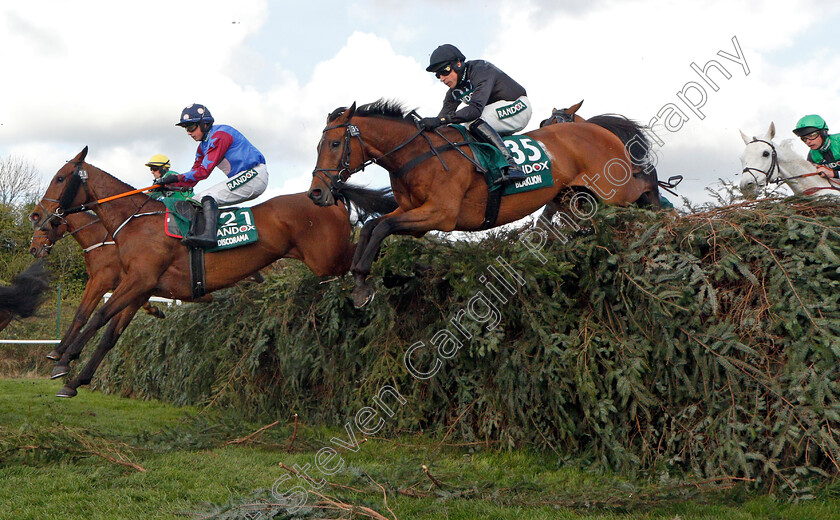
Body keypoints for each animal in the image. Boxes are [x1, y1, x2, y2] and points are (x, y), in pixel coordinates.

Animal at [30, 146, 398, 398]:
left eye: (60, 178)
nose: (38, 217)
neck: (133, 222)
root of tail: (327, 196)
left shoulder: (133, 280)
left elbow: (96, 315)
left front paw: (63, 359)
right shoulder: (140, 288)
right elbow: (108, 333)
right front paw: (75, 379)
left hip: (327, 257)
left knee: (367, 251)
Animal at [310, 99, 656, 306]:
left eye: (335, 143)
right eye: (318, 146)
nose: (316, 193)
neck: (416, 155)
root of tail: (599, 129)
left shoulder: (440, 214)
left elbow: (383, 227)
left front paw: (362, 281)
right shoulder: (412, 211)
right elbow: (372, 226)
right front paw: (359, 280)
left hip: (615, 193)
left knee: (642, 194)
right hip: (573, 196)